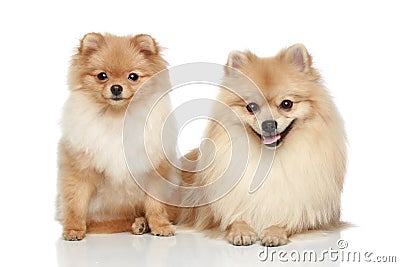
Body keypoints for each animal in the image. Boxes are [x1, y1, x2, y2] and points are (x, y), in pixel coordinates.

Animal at [56, 32, 177, 242]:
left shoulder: (152, 171)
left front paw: (160, 225)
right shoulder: (80, 169)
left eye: (133, 76)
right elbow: (76, 203)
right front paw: (73, 229)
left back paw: (141, 224)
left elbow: (155, 205)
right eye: (102, 76)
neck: (117, 117)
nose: (116, 88)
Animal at [178, 44, 346, 247]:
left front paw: (274, 231)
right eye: (251, 107)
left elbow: (291, 220)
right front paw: (241, 230)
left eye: (287, 104)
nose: (268, 124)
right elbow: (233, 218)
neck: (270, 160)